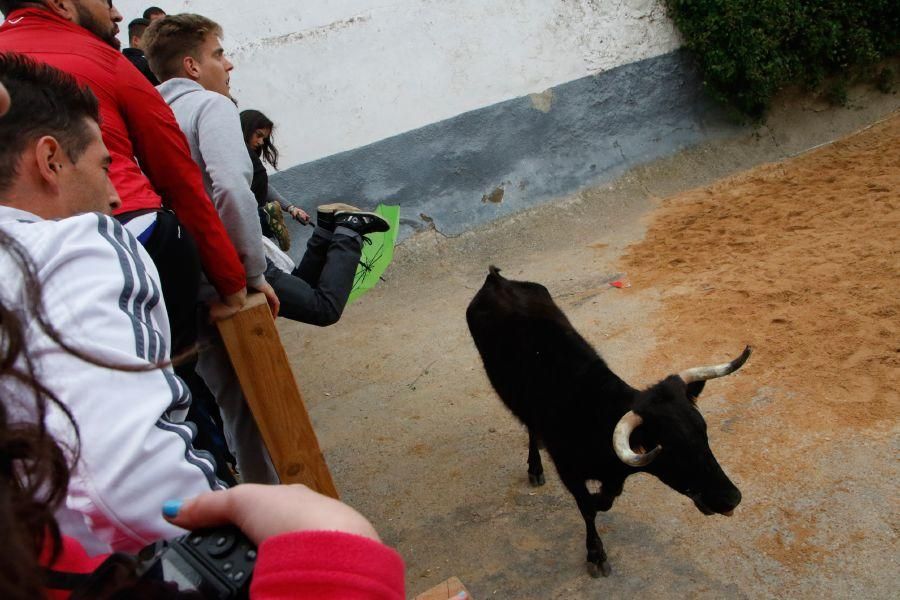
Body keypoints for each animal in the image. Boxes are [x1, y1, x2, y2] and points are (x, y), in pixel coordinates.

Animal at [468, 268, 748, 576]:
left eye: (704, 434)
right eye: (672, 451)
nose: (731, 498)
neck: (592, 412)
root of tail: (497, 280)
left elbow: (606, 499)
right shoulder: (569, 471)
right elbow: (588, 508)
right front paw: (596, 554)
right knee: (529, 425)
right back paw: (535, 466)